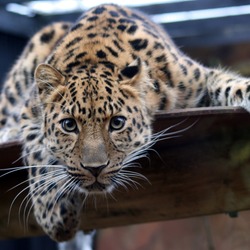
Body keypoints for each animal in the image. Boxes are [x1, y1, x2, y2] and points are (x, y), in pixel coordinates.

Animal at [0, 2, 250, 243]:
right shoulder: (29, 111)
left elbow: (230, 84)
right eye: (69, 125)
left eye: (117, 123)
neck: (93, 56)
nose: (95, 169)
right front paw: (54, 216)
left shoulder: (200, 79)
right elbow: (38, 155)